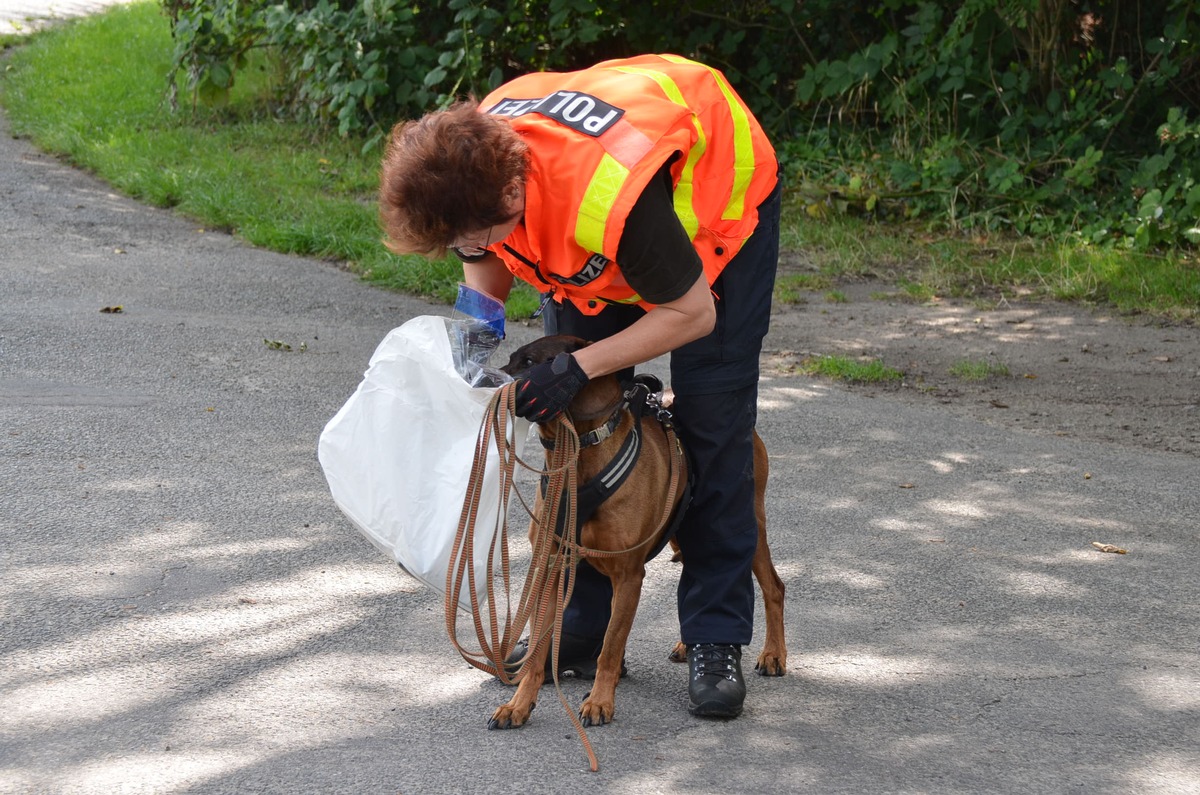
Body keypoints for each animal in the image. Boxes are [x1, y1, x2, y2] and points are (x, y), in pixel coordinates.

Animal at [487, 333, 787, 730]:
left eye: (534, 362)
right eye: (511, 359)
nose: (490, 383)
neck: (580, 461)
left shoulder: (628, 576)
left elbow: (611, 646)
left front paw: (600, 701)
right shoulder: (551, 565)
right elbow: (539, 650)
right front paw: (518, 704)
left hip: (749, 526)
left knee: (773, 586)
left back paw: (773, 655)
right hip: (681, 530)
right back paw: (687, 644)